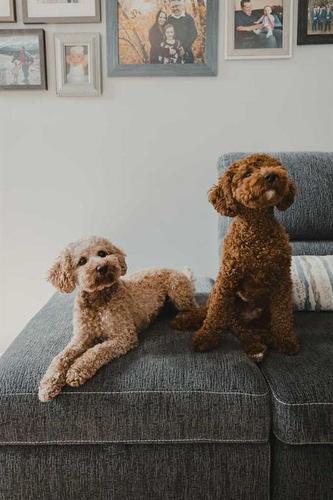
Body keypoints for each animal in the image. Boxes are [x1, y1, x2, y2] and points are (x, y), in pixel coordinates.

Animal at [38, 235, 197, 402]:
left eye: (102, 253)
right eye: (81, 261)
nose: (102, 267)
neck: (98, 300)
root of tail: (181, 273)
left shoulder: (124, 336)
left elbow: (96, 351)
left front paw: (77, 370)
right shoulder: (81, 338)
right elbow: (61, 357)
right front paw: (48, 384)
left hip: (177, 290)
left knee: (194, 307)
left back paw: (183, 318)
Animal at [172, 154, 300, 362]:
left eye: (274, 166)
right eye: (247, 173)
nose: (271, 175)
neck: (257, 229)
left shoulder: (282, 279)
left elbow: (283, 314)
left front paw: (286, 339)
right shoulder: (227, 277)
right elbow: (215, 312)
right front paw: (205, 337)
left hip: (263, 312)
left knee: (247, 327)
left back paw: (264, 340)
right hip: (227, 302)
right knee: (229, 323)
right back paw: (255, 346)